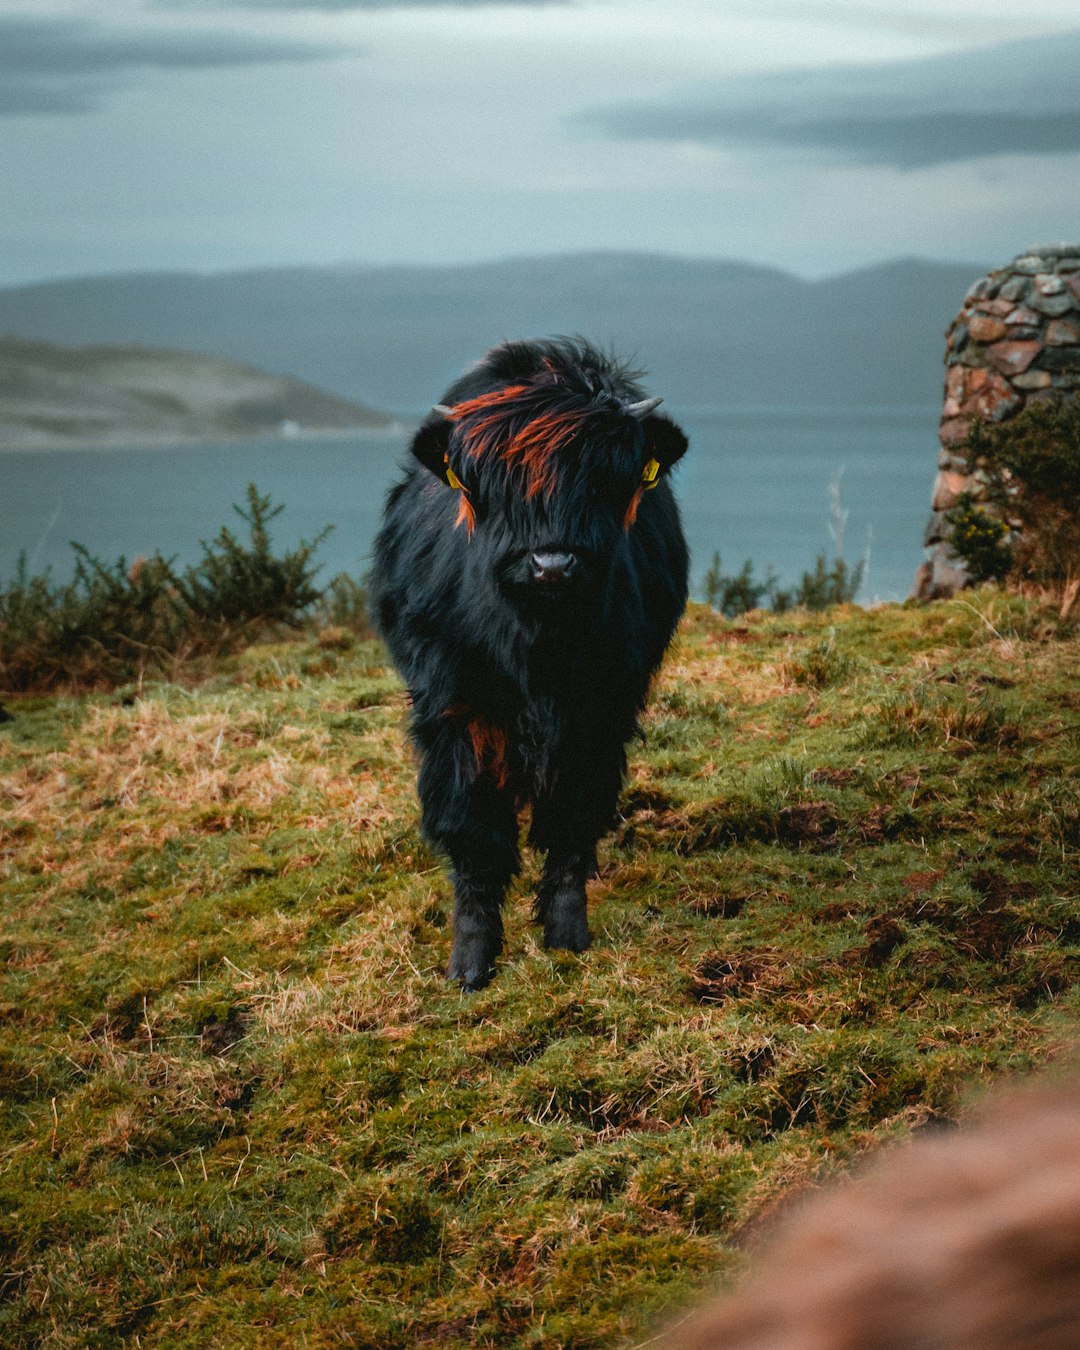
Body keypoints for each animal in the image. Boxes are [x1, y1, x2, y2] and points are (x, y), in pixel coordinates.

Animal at [372, 340, 691, 993]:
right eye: (499, 486)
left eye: (602, 481)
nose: (552, 563)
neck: (538, 643)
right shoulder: (457, 706)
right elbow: (473, 826)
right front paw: (470, 962)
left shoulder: (600, 710)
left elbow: (573, 813)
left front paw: (567, 934)